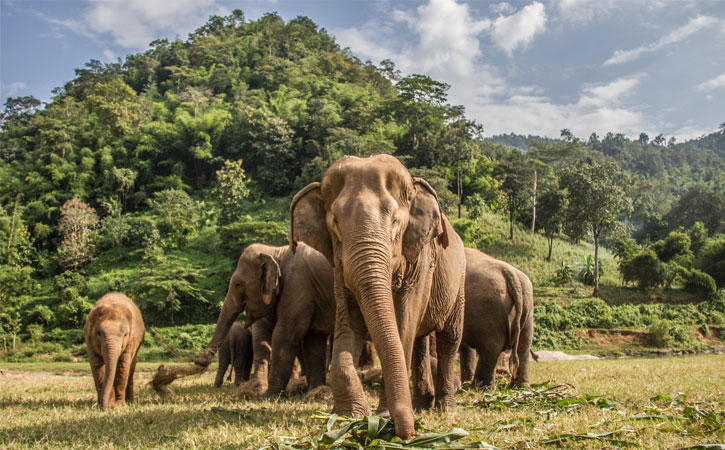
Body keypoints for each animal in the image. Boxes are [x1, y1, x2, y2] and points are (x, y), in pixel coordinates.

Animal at [197, 243, 336, 398]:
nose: (200, 361)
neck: (276, 251)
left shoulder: (298, 288)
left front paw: (268, 396)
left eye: (238, 284)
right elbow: (314, 340)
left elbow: (284, 336)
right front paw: (314, 391)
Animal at [288, 155, 464, 440]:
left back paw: (446, 409)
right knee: (420, 341)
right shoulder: (340, 269)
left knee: (449, 338)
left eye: (395, 221)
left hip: (459, 282)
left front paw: (382, 416)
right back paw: (422, 405)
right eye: (335, 222)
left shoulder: (421, 260)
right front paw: (349, 416)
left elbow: (403, 322)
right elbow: (349, 322)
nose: (408, 433)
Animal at [460, 248, 536, 388]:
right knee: (524, 346)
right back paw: (520, 387)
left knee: (491, 347)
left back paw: (479, 387)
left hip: (488, 309)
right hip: (528, 306)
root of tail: (510, 274)